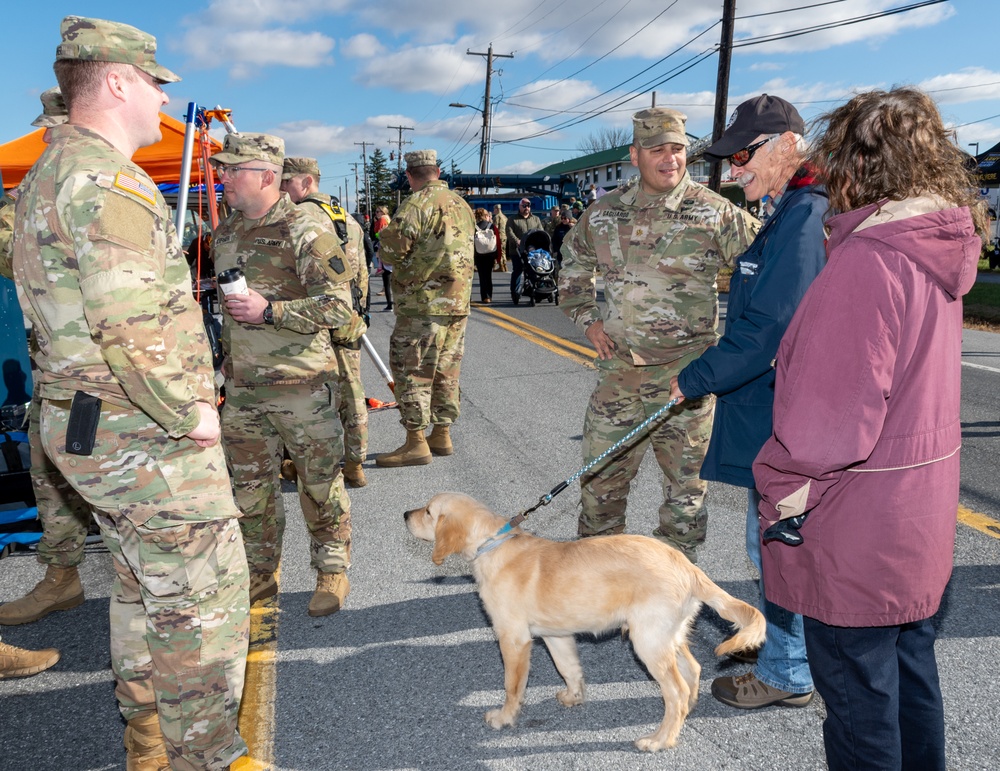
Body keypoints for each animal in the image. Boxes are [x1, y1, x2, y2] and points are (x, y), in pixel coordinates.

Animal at [404, 494, 764, 752]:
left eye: (428, 511)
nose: (405, 514)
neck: (493, 545)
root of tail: (687, 566)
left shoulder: (513, 638)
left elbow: (512, 685)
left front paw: (504, 717)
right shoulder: (556, 636)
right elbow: (569, 668)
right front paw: (573, 696)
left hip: (648, 640)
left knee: (675, 690)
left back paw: (660, 739)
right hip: (668, 636)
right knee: (693, 672)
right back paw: (682, 718)